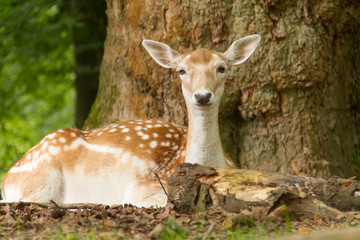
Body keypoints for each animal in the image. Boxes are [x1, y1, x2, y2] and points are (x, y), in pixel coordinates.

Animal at [0, 34, 260, 207]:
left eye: (222, 68)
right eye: (181, 70)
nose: (203, 96)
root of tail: (7, 177)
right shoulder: (143, 188)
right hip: (38, 181)